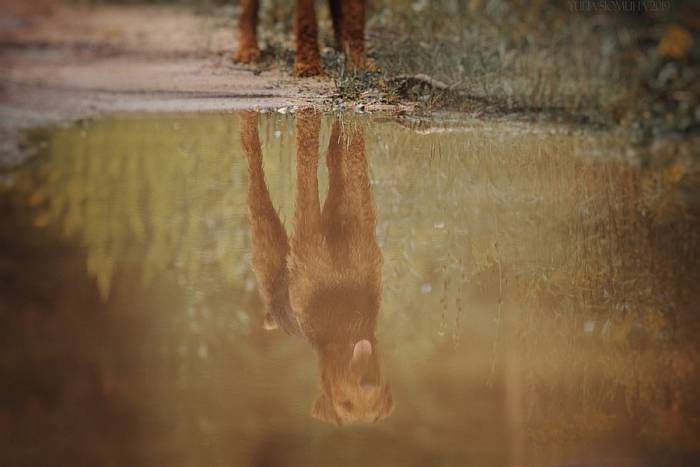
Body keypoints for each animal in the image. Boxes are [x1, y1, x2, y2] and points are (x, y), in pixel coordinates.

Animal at [235, 0, 366, 76]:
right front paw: (307, 64)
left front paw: (357, 63)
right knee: (246, 11)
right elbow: (306, 19)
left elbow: (354, 19)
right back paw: (247, 50)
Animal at [241, 111, 394, 426]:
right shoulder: (308, 246)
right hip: (266, 245)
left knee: (335, 157)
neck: (347, 322)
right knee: (254, 169)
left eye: (374, 413)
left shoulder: (358, 227)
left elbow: (354, 162)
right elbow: (307, 160)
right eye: (346, 404)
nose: (367, 384)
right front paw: (309, 122)